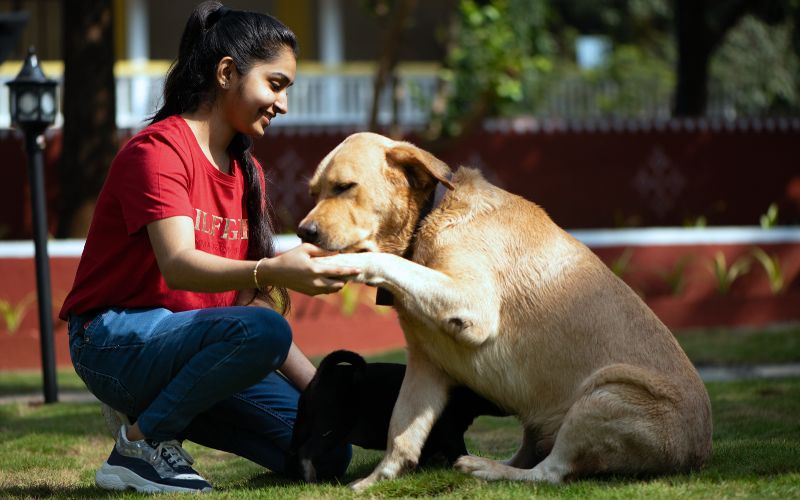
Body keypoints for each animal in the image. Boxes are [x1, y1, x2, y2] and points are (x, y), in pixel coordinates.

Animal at [296, 131, 708, 490]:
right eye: (313, 193)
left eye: (344, 187)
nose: (303, 233)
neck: (429, 219)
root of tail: (697, 454)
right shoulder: (426, 365)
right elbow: (401, 432)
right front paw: (378, 480)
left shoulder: (473, 305)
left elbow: (384, 261)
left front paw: (346, 262)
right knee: (532, 456)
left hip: (606, 393)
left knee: (550, 473)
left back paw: (487, 468)